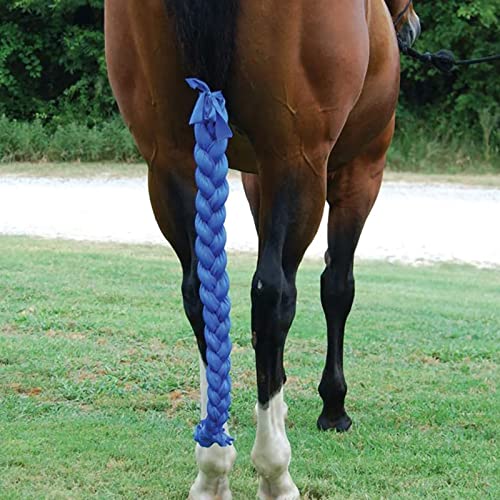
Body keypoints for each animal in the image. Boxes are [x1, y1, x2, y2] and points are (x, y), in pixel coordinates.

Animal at [105, 1, 422, 498]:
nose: (410, 28)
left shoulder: (253, 177)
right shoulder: (361, 169)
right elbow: (337, 287)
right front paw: (333, 406)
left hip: (170, 162)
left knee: (201, 295)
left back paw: (212, 466)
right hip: (298, 160)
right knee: (273, 297)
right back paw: (275, 470)